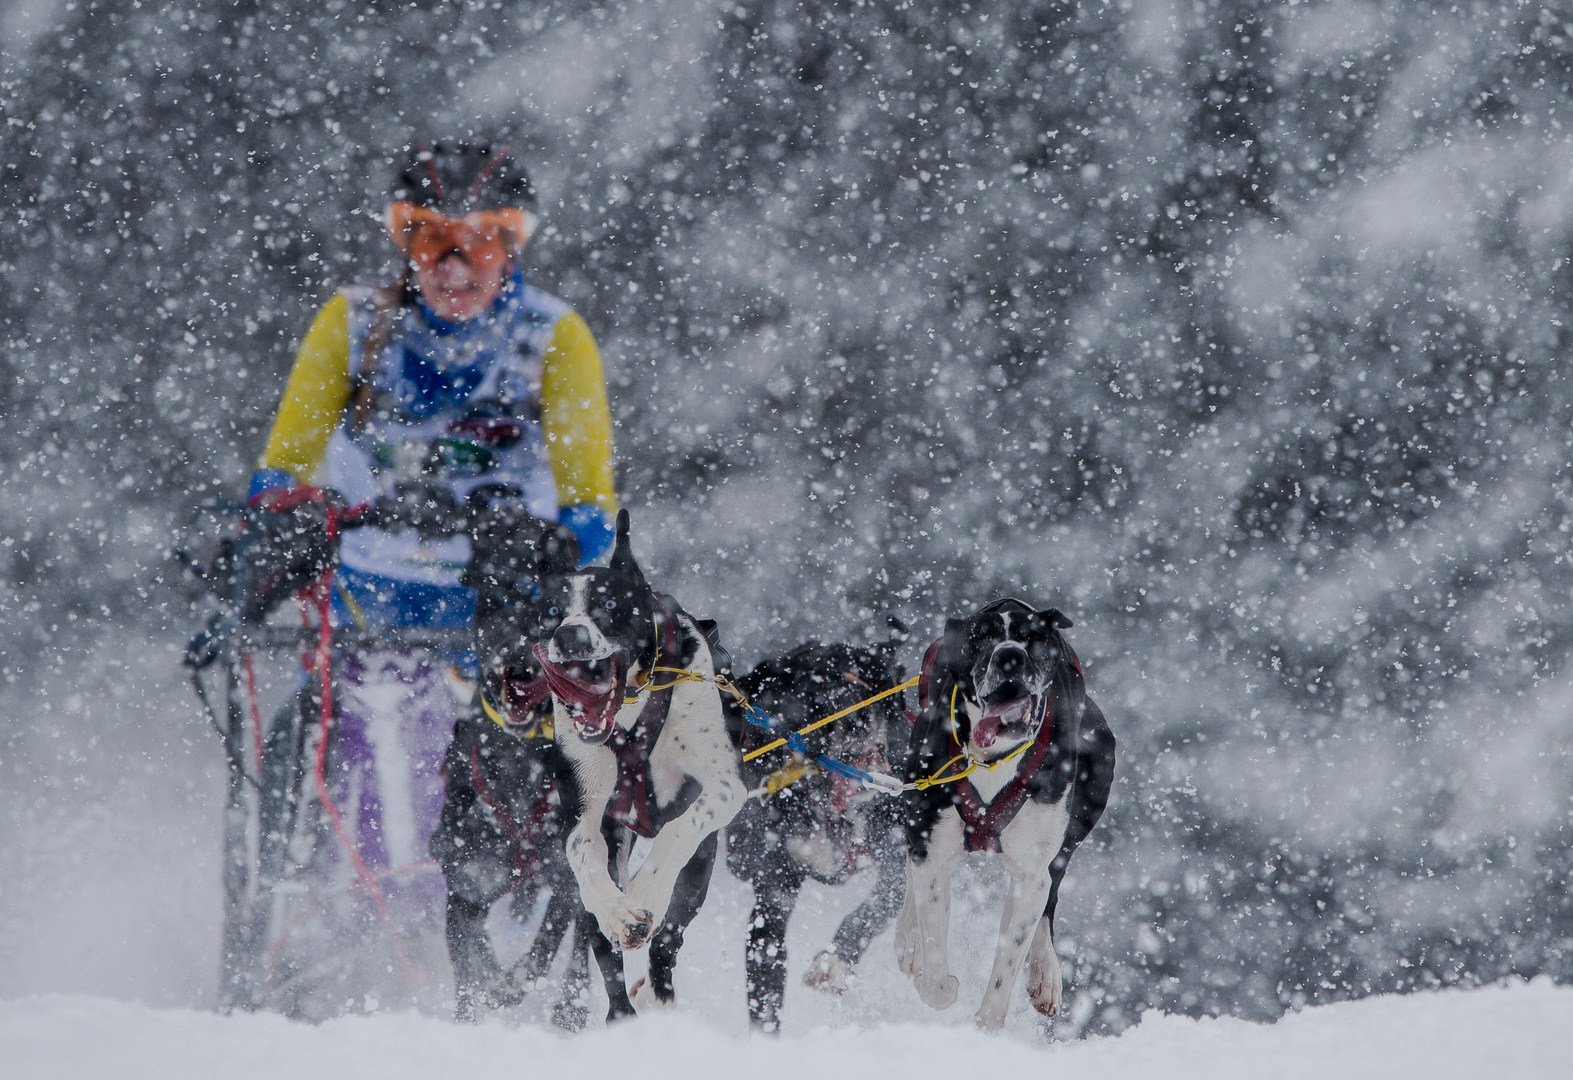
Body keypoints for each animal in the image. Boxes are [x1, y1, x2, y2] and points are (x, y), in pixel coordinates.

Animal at [534, 512, 742, 1024]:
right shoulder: (585, 812)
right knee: (607, 961)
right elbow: (583, 854)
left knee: (670, 936)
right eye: (552, 612)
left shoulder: (724, 786)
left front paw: (646, 892)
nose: (570, 635)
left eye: (608, 606)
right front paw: (620, 911)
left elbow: (679, 831)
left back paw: (659, 994)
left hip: (700, 868)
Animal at [723, 638, 912, 1037]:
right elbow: (765, 972)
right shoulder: (774, 889)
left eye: (865, 683)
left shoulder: (899, 859)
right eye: (814, 691)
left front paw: (835, 961)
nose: (856, 722)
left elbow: (874, 909)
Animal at [899, 600, 1119, 1031]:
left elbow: (1009, 958)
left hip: (1092, 783)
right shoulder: (931, 847)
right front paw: (936, 977)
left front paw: (986, 1027)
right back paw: (908, 938)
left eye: (1031, 637)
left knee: (1052, 890)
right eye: (979, 637)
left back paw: (1045, 972)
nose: (1010, 656)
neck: (992, 759)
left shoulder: (1031, 870)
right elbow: (935, 975)